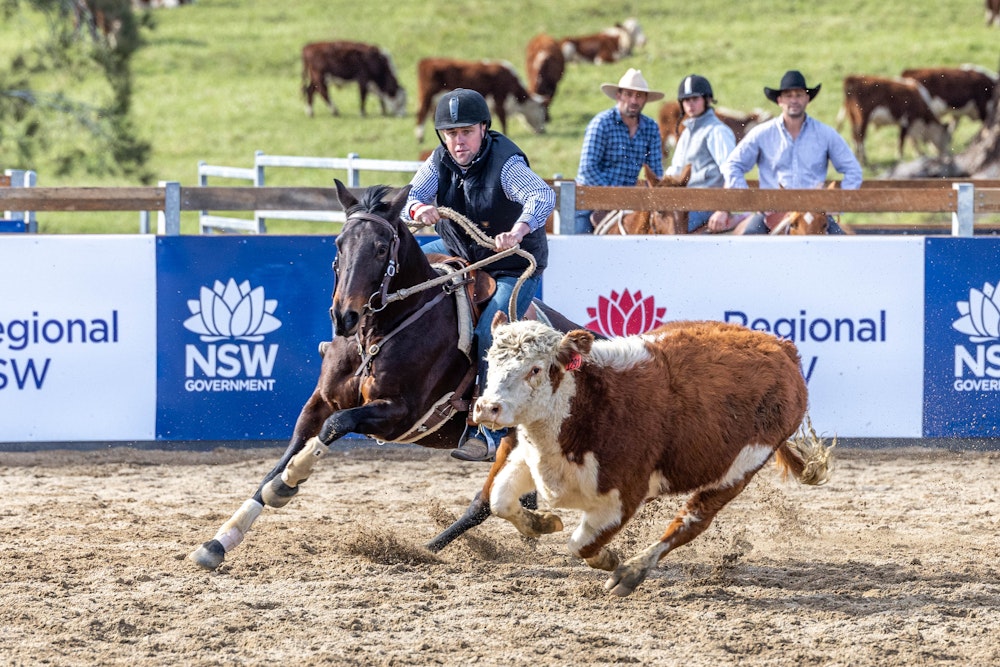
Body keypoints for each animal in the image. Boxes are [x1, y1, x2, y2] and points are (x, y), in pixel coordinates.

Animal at [190, 181, 576, 568]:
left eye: (379, 249)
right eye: (339, 243)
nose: (343, 315)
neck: (378, 332)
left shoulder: (398, 413)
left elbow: (336, 425)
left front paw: (288, 482)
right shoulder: (319, 402)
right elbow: (285, 455)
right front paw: (221, 539)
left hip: (509, 442)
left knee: (484, 503)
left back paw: (426, 549)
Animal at [418, 57, 552, 144]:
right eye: (543, 112)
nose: (543, 131)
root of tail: (427, 61)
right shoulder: (499, 100)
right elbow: (503, 120)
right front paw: (506, 134)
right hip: (427, 97)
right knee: (421, 114)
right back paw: (420, 138)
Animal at [472, 316, 832, 596]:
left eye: (535, 369)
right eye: (490, 361)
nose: (487, 407)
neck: (587, 406)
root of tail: (783, 348)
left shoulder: (624, 496)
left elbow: (580, 544)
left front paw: (609, 560)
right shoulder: (532, 457)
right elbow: (500, 500)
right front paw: (542, 522)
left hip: (740, 468)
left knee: (691, 522)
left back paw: (632, 573)